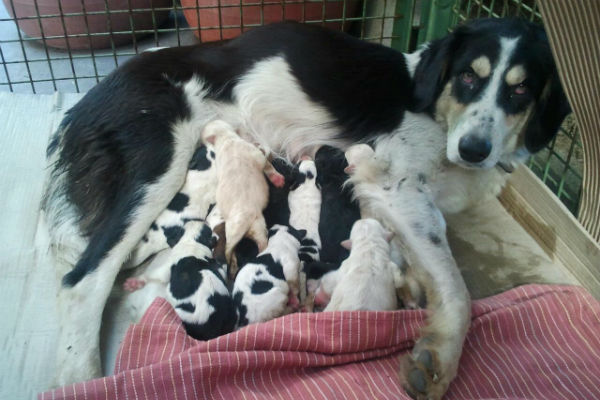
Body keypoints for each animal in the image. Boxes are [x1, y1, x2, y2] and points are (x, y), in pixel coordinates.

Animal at [203, 120, 284, 280]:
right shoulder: (255, 154)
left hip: (253, 226)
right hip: (251, 224)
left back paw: (234, 268)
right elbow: (267, 164)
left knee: (236, 251)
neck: (226, 138)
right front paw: (276, 177)